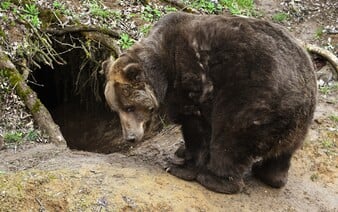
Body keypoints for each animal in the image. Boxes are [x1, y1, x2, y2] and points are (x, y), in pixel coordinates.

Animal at [102, 12, 316, 194]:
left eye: (129, 107)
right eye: (115, 109)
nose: (129, 137)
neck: (163, 72)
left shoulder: (193, 81)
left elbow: (196, 127)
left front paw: (180, 166)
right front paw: (181, 152)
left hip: (253, 101)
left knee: (229, 137)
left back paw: (214, 179)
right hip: (295, 121)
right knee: (283, 152)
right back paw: (269, 175)